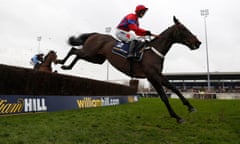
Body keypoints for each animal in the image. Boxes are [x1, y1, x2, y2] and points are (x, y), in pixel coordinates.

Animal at [57, 16, 201, 122]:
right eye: (183, 28)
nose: (198, 42)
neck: (154, 51)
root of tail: (96, 34)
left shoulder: (158, 75)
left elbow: (175, 88)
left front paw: (190, 107)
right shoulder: (152, 76)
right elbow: (164, 97)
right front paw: (176, 117)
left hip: (96, 58)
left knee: (77, 54)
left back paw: (67, 66)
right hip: (90, 52)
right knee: (74, 50)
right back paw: (61, 62)